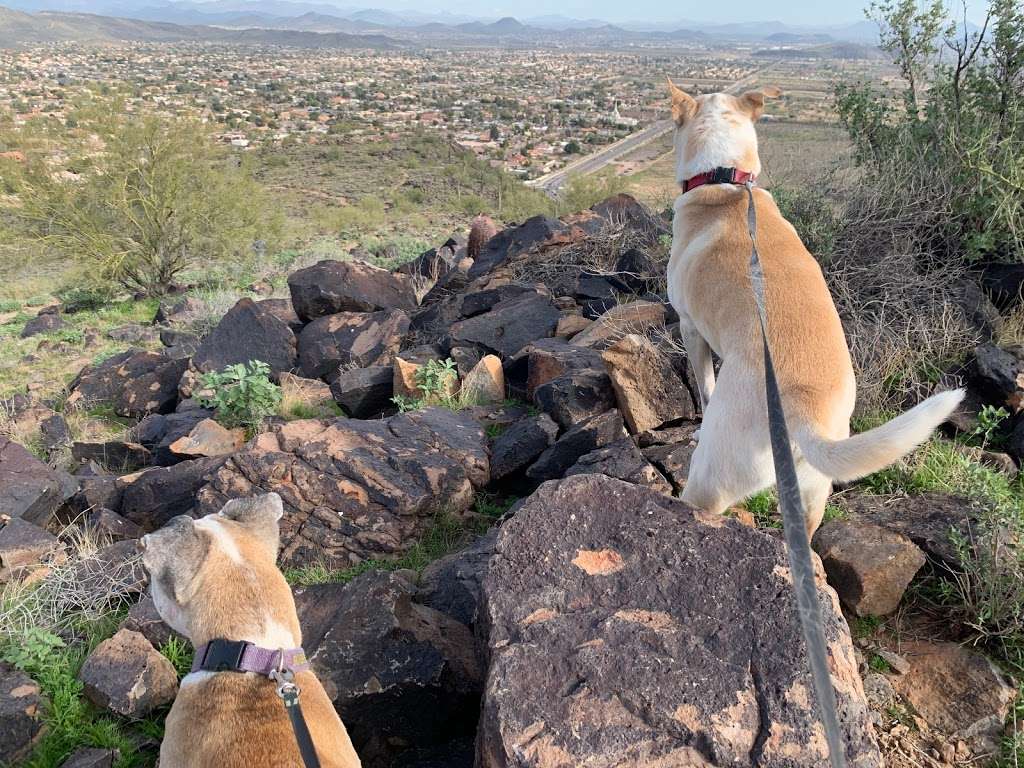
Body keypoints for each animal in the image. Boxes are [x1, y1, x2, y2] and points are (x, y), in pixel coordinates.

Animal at [667, 79, 962, 536]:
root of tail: (804, 411)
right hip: (812, 486)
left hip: (713, 476)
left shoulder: (690, 328)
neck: (725, 178)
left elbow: (705, 386)